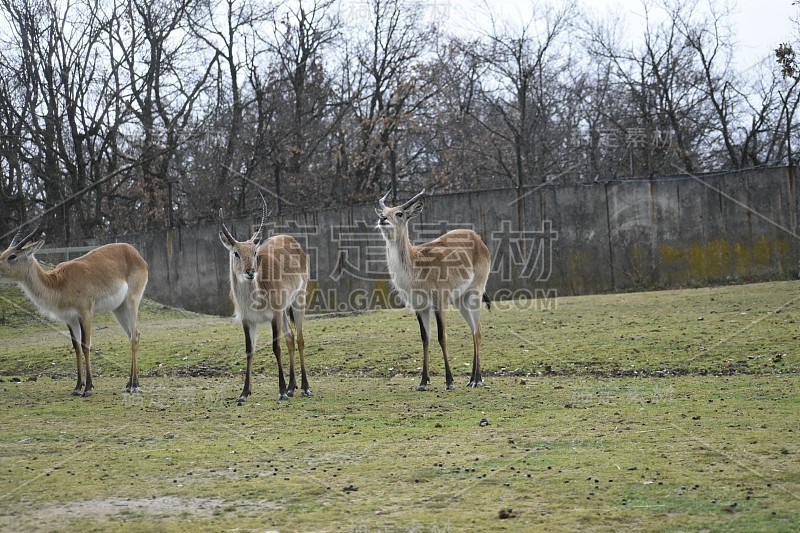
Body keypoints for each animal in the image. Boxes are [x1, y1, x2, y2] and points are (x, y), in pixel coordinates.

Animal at [0, 223, 148, 394]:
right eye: (3, 253)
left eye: (12, 256)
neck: (59, 283)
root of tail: (135, 253)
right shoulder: (70, 319)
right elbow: (76, 347)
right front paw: (77, 387)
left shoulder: (86, 313)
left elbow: (86, 345)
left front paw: (88, 388)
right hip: (118, 309)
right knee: (132, 335)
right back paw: (128, 384)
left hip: (131, 302)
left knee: (135, 336)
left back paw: (135, 385)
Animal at [220, 193, 310, 402]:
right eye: (236, 253)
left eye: (254, 252)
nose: (250, 272)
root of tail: (291, 239)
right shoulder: (247, 320)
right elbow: (249, 350)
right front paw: (244, 393)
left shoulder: (273, 316)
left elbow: (276, 347)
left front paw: (281, 390)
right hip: (284, 311)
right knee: (290, 337)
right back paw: (293, 388)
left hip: (298, 300)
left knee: (299, 339)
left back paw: (304, 388)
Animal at [376, 189, 494, 388]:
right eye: (384, 211)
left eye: (399, 213)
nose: (382, 218)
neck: (416, 266)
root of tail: (477, 238)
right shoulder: (420, 307)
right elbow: (425, 338)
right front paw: (423, 381)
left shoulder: (439, 302)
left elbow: (441, 337)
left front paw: (449, 381)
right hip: (460, 300)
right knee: (473, 330)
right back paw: (471, 379)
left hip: (475, 293)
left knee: (478, 331)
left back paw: (477, 380)